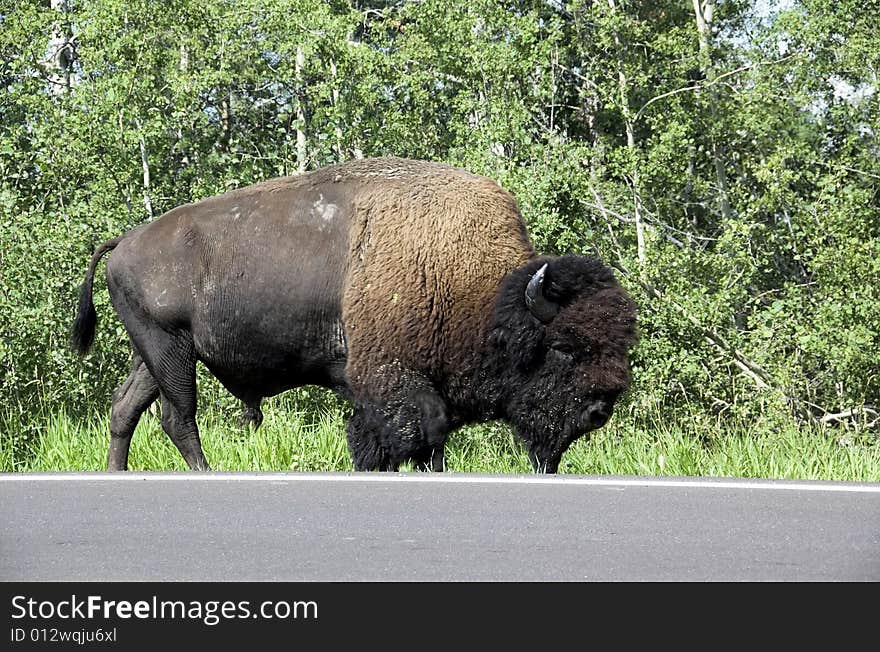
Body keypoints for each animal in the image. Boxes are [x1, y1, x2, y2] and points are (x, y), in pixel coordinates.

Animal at [72, 158, 636, 474]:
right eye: (564, 347)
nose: (600, 409)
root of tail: (124, 240)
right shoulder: (393, 380)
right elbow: (415, 435)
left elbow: (419, 442)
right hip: (168, 348)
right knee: (178, 416)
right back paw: (203, 472)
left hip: (153, 353)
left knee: (126, 408)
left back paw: (117, 473)